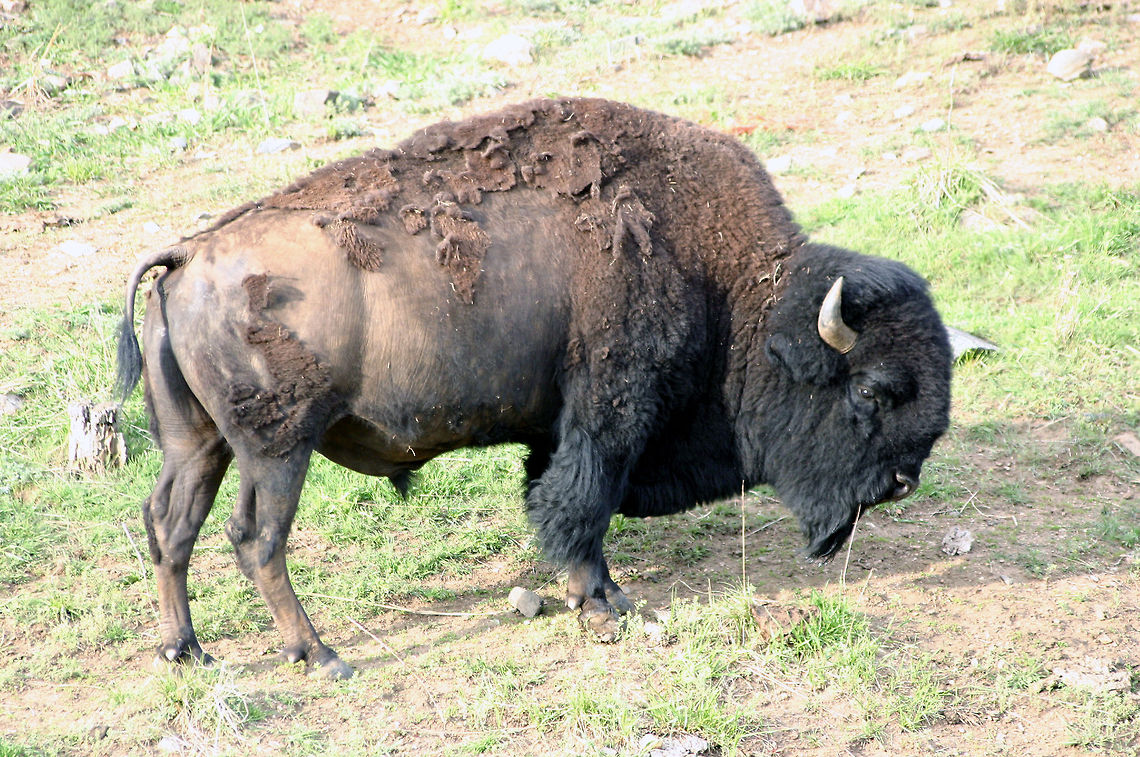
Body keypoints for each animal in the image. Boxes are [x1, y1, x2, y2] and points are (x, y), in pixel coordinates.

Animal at [116, 98, 952, 679]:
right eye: (870, 391)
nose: (901, 483)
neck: (732, 286)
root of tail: (186, 256)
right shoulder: (609, 412)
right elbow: (583, 504)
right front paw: (601, 605)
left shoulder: (561, 428)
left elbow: (561, 499)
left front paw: (604, 595)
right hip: (277, 450)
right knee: (257, 540)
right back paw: (320, 655)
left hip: (199, 446)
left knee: (171, 526)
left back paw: (185, 649)